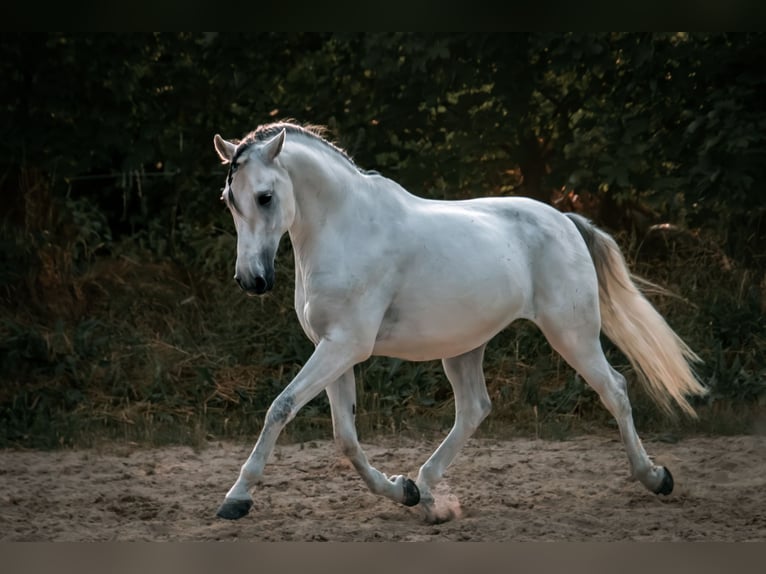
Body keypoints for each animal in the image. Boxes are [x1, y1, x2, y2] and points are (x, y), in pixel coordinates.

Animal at [211, 121, 707, 524]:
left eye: (265, 197)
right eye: (229, 200)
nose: (251, 280)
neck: (346, 228)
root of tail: (564, 220)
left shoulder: (345, 346)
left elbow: (281, 407)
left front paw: (236, 498)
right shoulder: (333, 347)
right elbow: (346, 438)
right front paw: (402, 491)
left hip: (572, 333)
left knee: (614, 390)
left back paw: (656, 477)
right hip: (465, 346)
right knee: (474, 408)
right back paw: (427, 493)